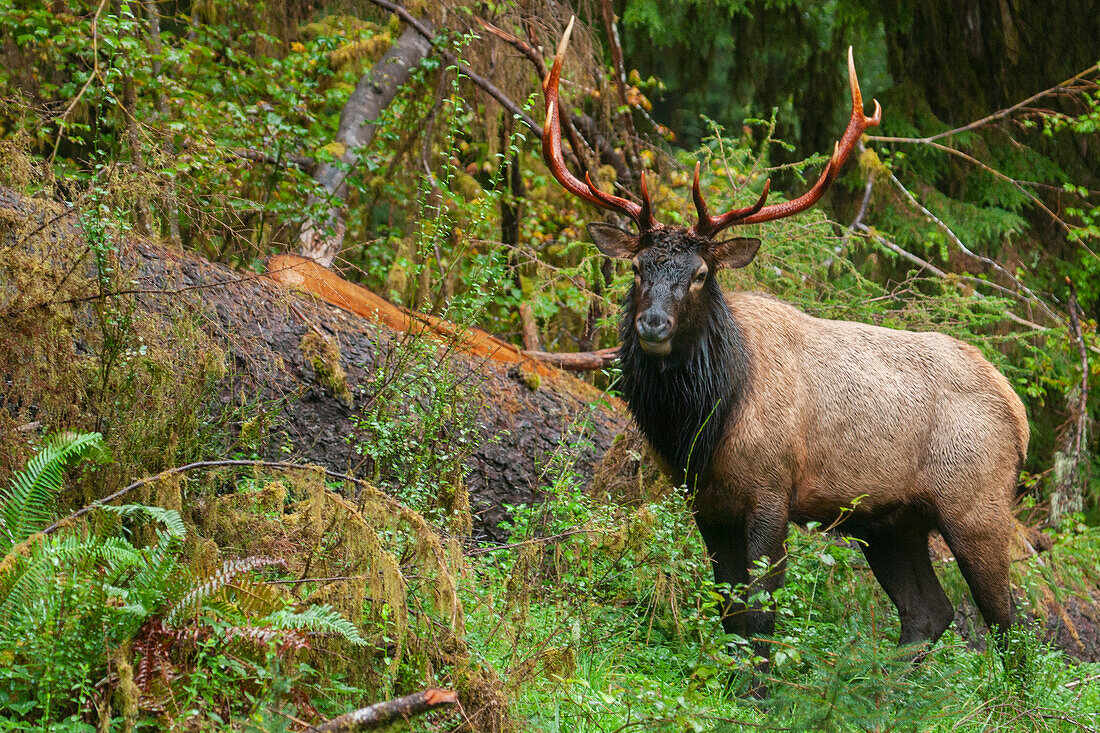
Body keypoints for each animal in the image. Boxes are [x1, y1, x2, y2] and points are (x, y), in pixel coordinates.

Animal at [541, 17, 1029, 677]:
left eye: (701, 274)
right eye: (638, 268)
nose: (653, 325)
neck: (706, 420)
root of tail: (1019, 411)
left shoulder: (773, 489)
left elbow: (761, 608)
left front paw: (759, 687)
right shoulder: (706, 501)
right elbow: (727, 608)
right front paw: (732, 682)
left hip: (977, 501)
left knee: (1010, 625)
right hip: (889, 521)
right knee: (929, 613)